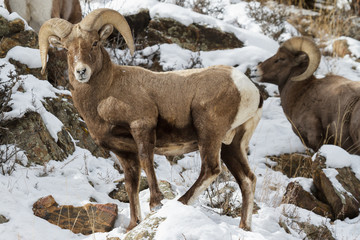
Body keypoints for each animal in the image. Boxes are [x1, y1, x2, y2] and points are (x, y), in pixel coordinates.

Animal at [39, 8, 262, 231]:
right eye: (67, 49)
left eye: (94, 43)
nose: (81, 71)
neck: (106, 94)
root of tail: (249, 89)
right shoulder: (124, 152)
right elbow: (131, 184)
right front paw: (132, 225)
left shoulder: (142, 126)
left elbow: (147, 161)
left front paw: (156, 203)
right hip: (232, 145)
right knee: (247, 179)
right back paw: (244, 227)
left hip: (209, 133)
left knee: (211, 169)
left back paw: (180, 202)